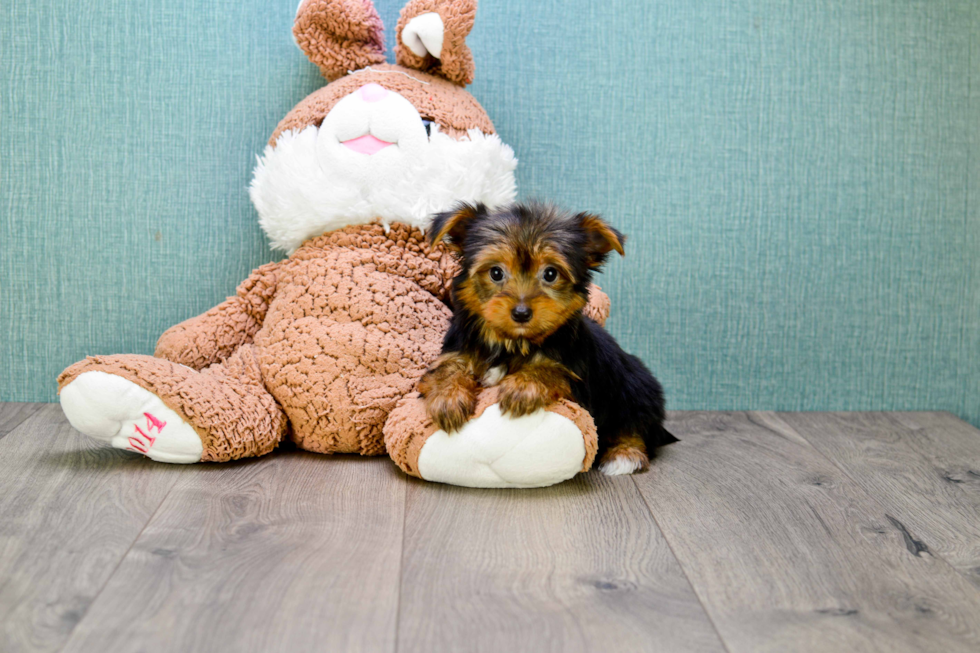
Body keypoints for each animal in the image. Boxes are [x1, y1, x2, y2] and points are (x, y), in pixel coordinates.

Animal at [418, 201, 676, 476]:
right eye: (496, 272)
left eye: (550, 274)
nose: (521, 313)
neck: (513, 342)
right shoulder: (457, 348)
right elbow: (444, 368)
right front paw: (448, 398)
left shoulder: (576, 376)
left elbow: (553, 370)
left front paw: (523, 386)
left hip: (634, 388)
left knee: (636, 424)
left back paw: (625, 454)